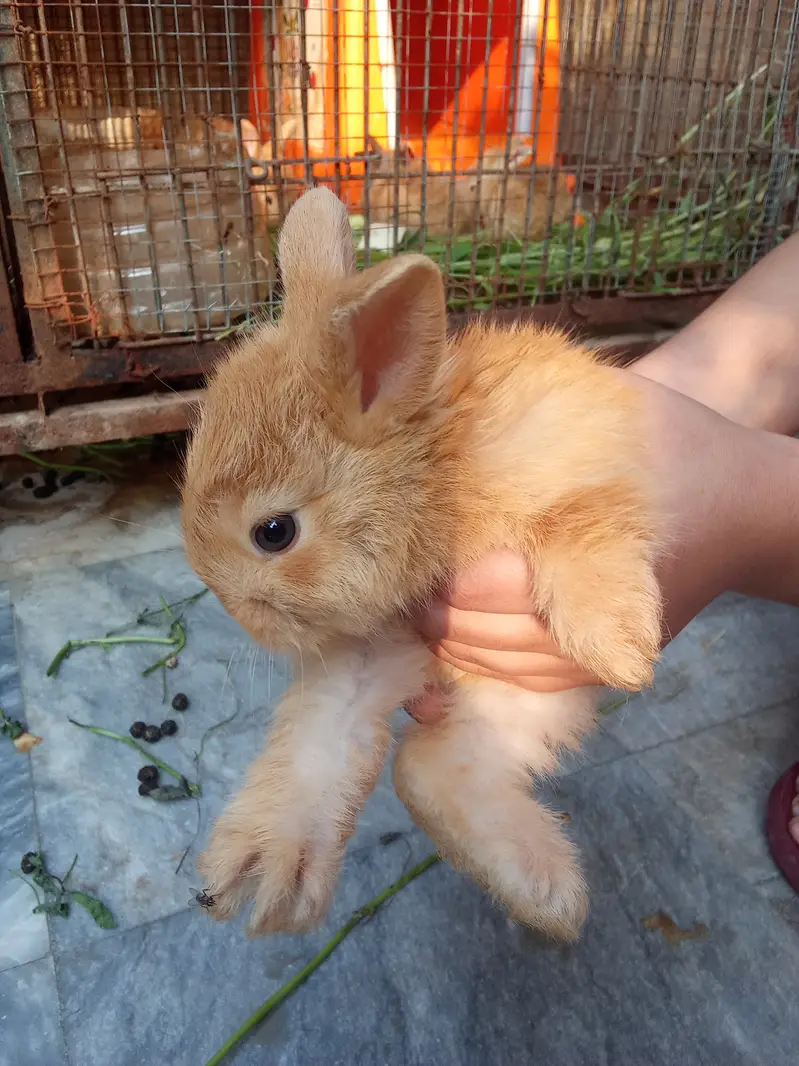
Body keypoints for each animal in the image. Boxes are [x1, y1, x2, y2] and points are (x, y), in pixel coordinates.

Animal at [181, 187, 662, 941]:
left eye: (273, 532)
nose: (242, 620)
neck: (430, 476)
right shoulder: (378, 642)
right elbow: (322, 736)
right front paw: (265, 870)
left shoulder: (581, 464)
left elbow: (576, 523)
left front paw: (619, 648)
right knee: (427, 767)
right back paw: (551, 899)